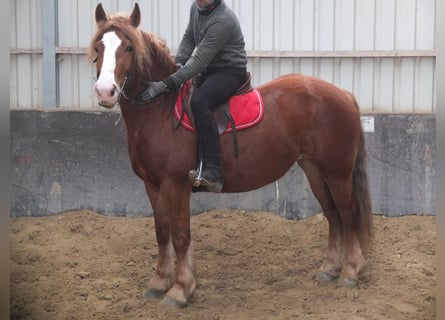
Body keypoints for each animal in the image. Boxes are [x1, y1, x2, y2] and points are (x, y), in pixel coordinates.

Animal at [90, 2, 372, 308]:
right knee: (333, 215)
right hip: (315, 171)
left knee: (348, 214)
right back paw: (330, 269)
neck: (160, 110)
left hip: (337, 173)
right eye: (99, 47)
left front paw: (181, 289)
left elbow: (180, 235)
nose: (105, 92)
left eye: (129, 47)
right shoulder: (152, 185)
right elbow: (162, 231)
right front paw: (160, 282)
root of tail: (344, 94)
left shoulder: (175, 185)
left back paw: (350, 272)